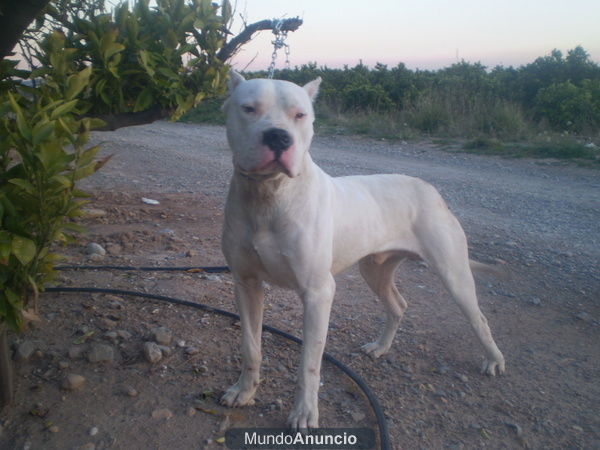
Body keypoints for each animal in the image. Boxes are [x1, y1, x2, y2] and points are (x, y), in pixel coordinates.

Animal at [218, 73, 504, 428]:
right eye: (248, 109)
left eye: (300, 115)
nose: (278, 137)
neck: (269, 194)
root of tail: (430, 190)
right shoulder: (246, 284)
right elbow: (251, 347)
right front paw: (244, 392)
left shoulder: (318, 293)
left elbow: (309, 363)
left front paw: (304, 413)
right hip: (375, 270)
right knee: (398, 305)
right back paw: (380, 347)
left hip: (454, 274)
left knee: (479, 317)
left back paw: (493, 359)